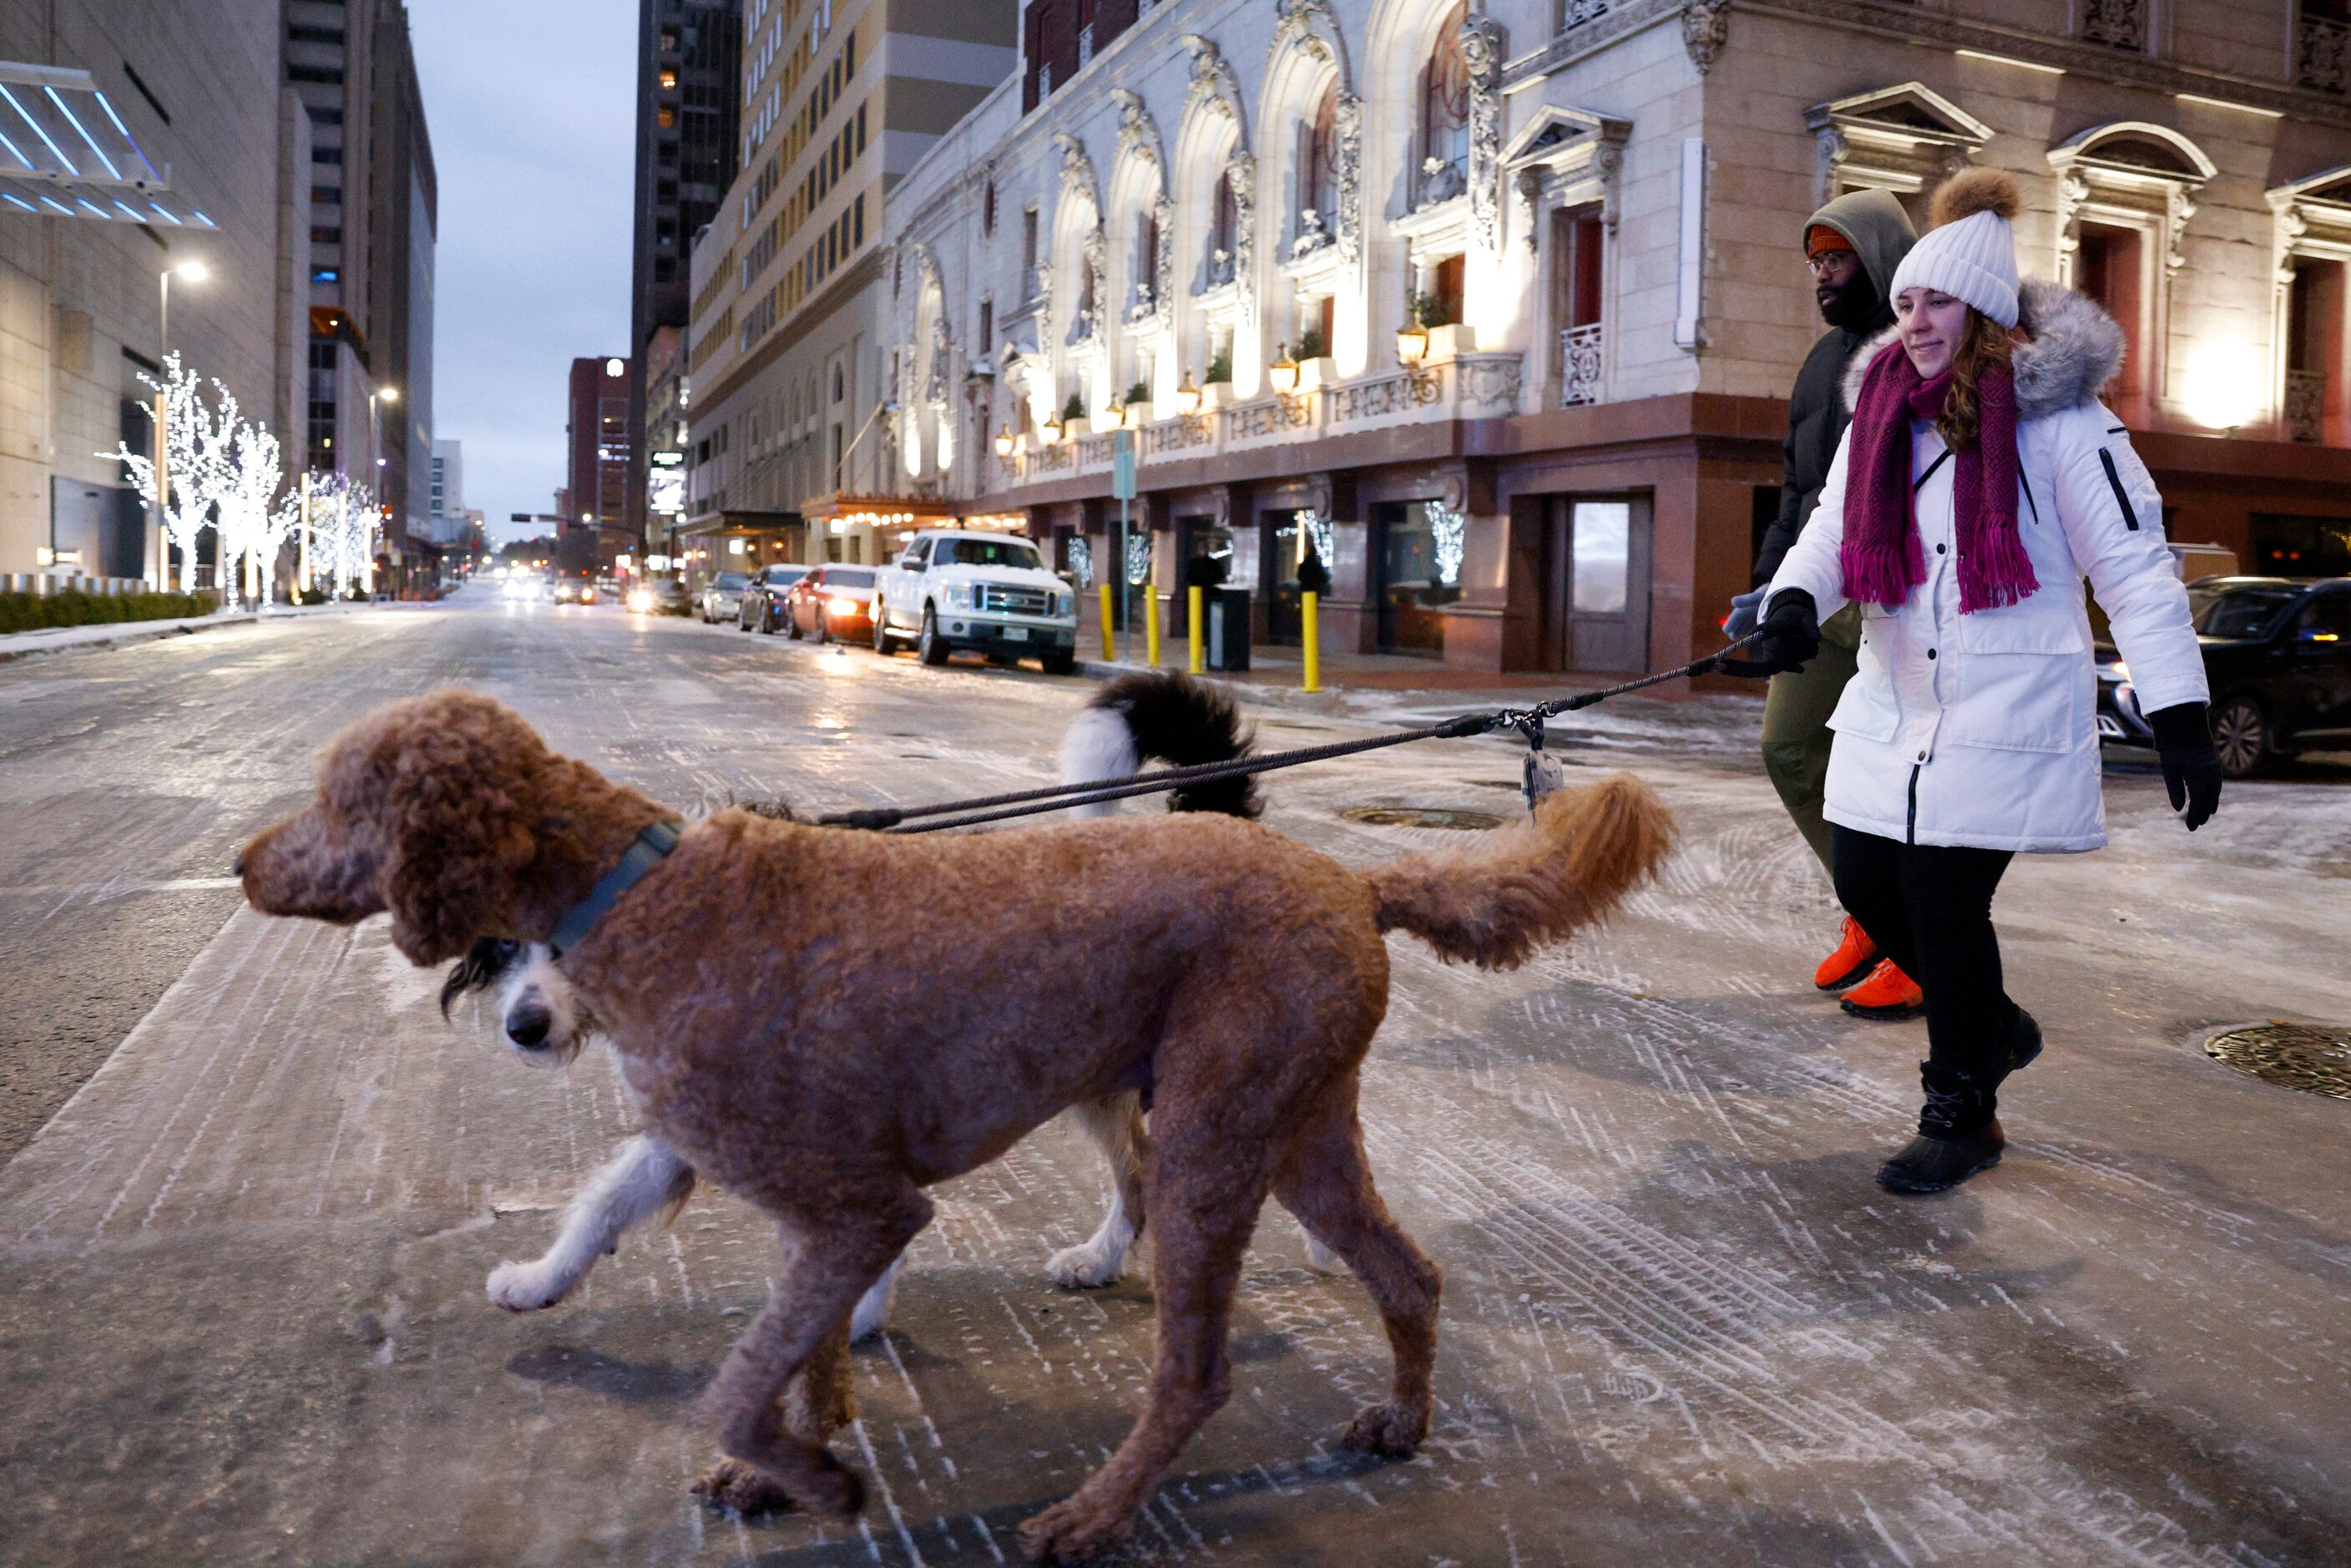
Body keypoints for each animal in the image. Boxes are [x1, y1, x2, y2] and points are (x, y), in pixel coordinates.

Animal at [437, 672, 1326, 1335]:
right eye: (503, 941)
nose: (524, 1028)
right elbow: (606, 1202)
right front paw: (540, 1279)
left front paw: (856, 1319)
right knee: (1139, 1170)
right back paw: (1100, 1260)